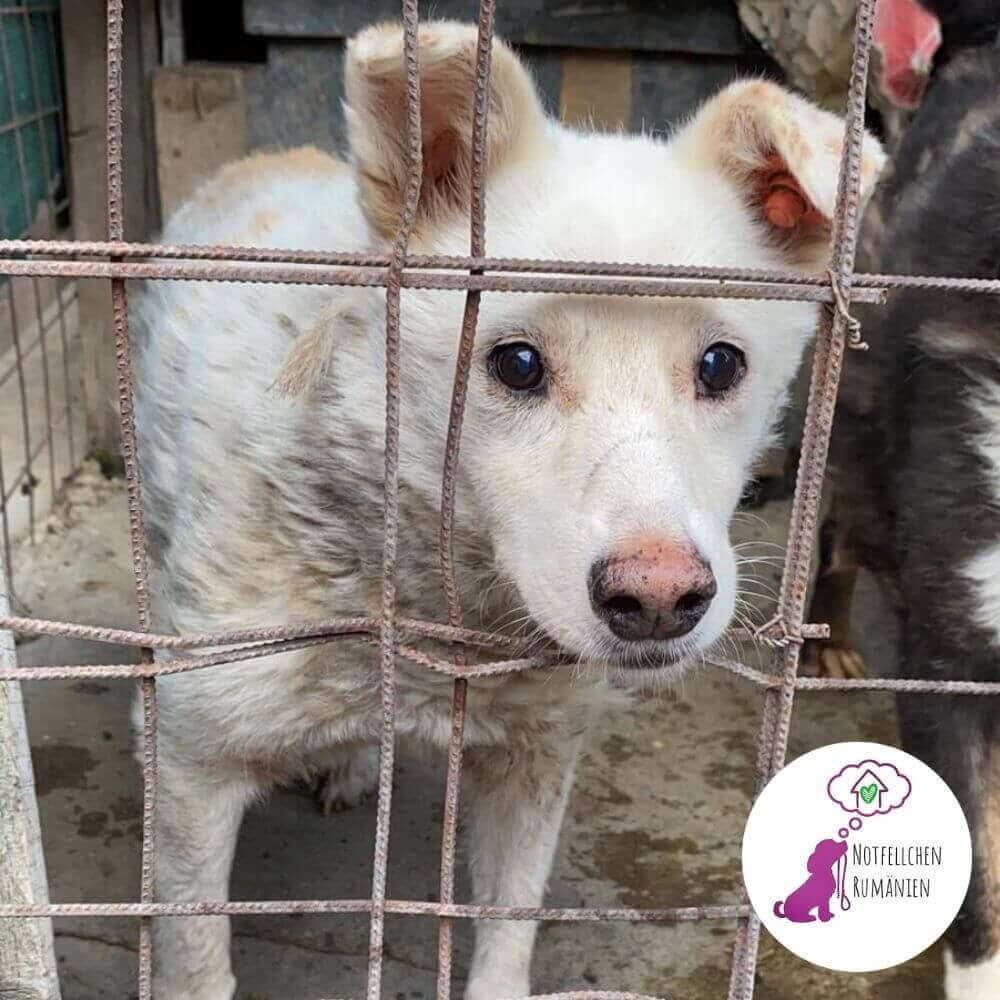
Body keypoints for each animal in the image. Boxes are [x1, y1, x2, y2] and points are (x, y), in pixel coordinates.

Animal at [131, 17, 884, 1000]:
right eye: (516, 364)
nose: (658, 601)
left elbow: (507, 932)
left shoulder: (535, 755)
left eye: (721, 365)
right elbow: (196, 963)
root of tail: (265, 157)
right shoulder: (192, 764)